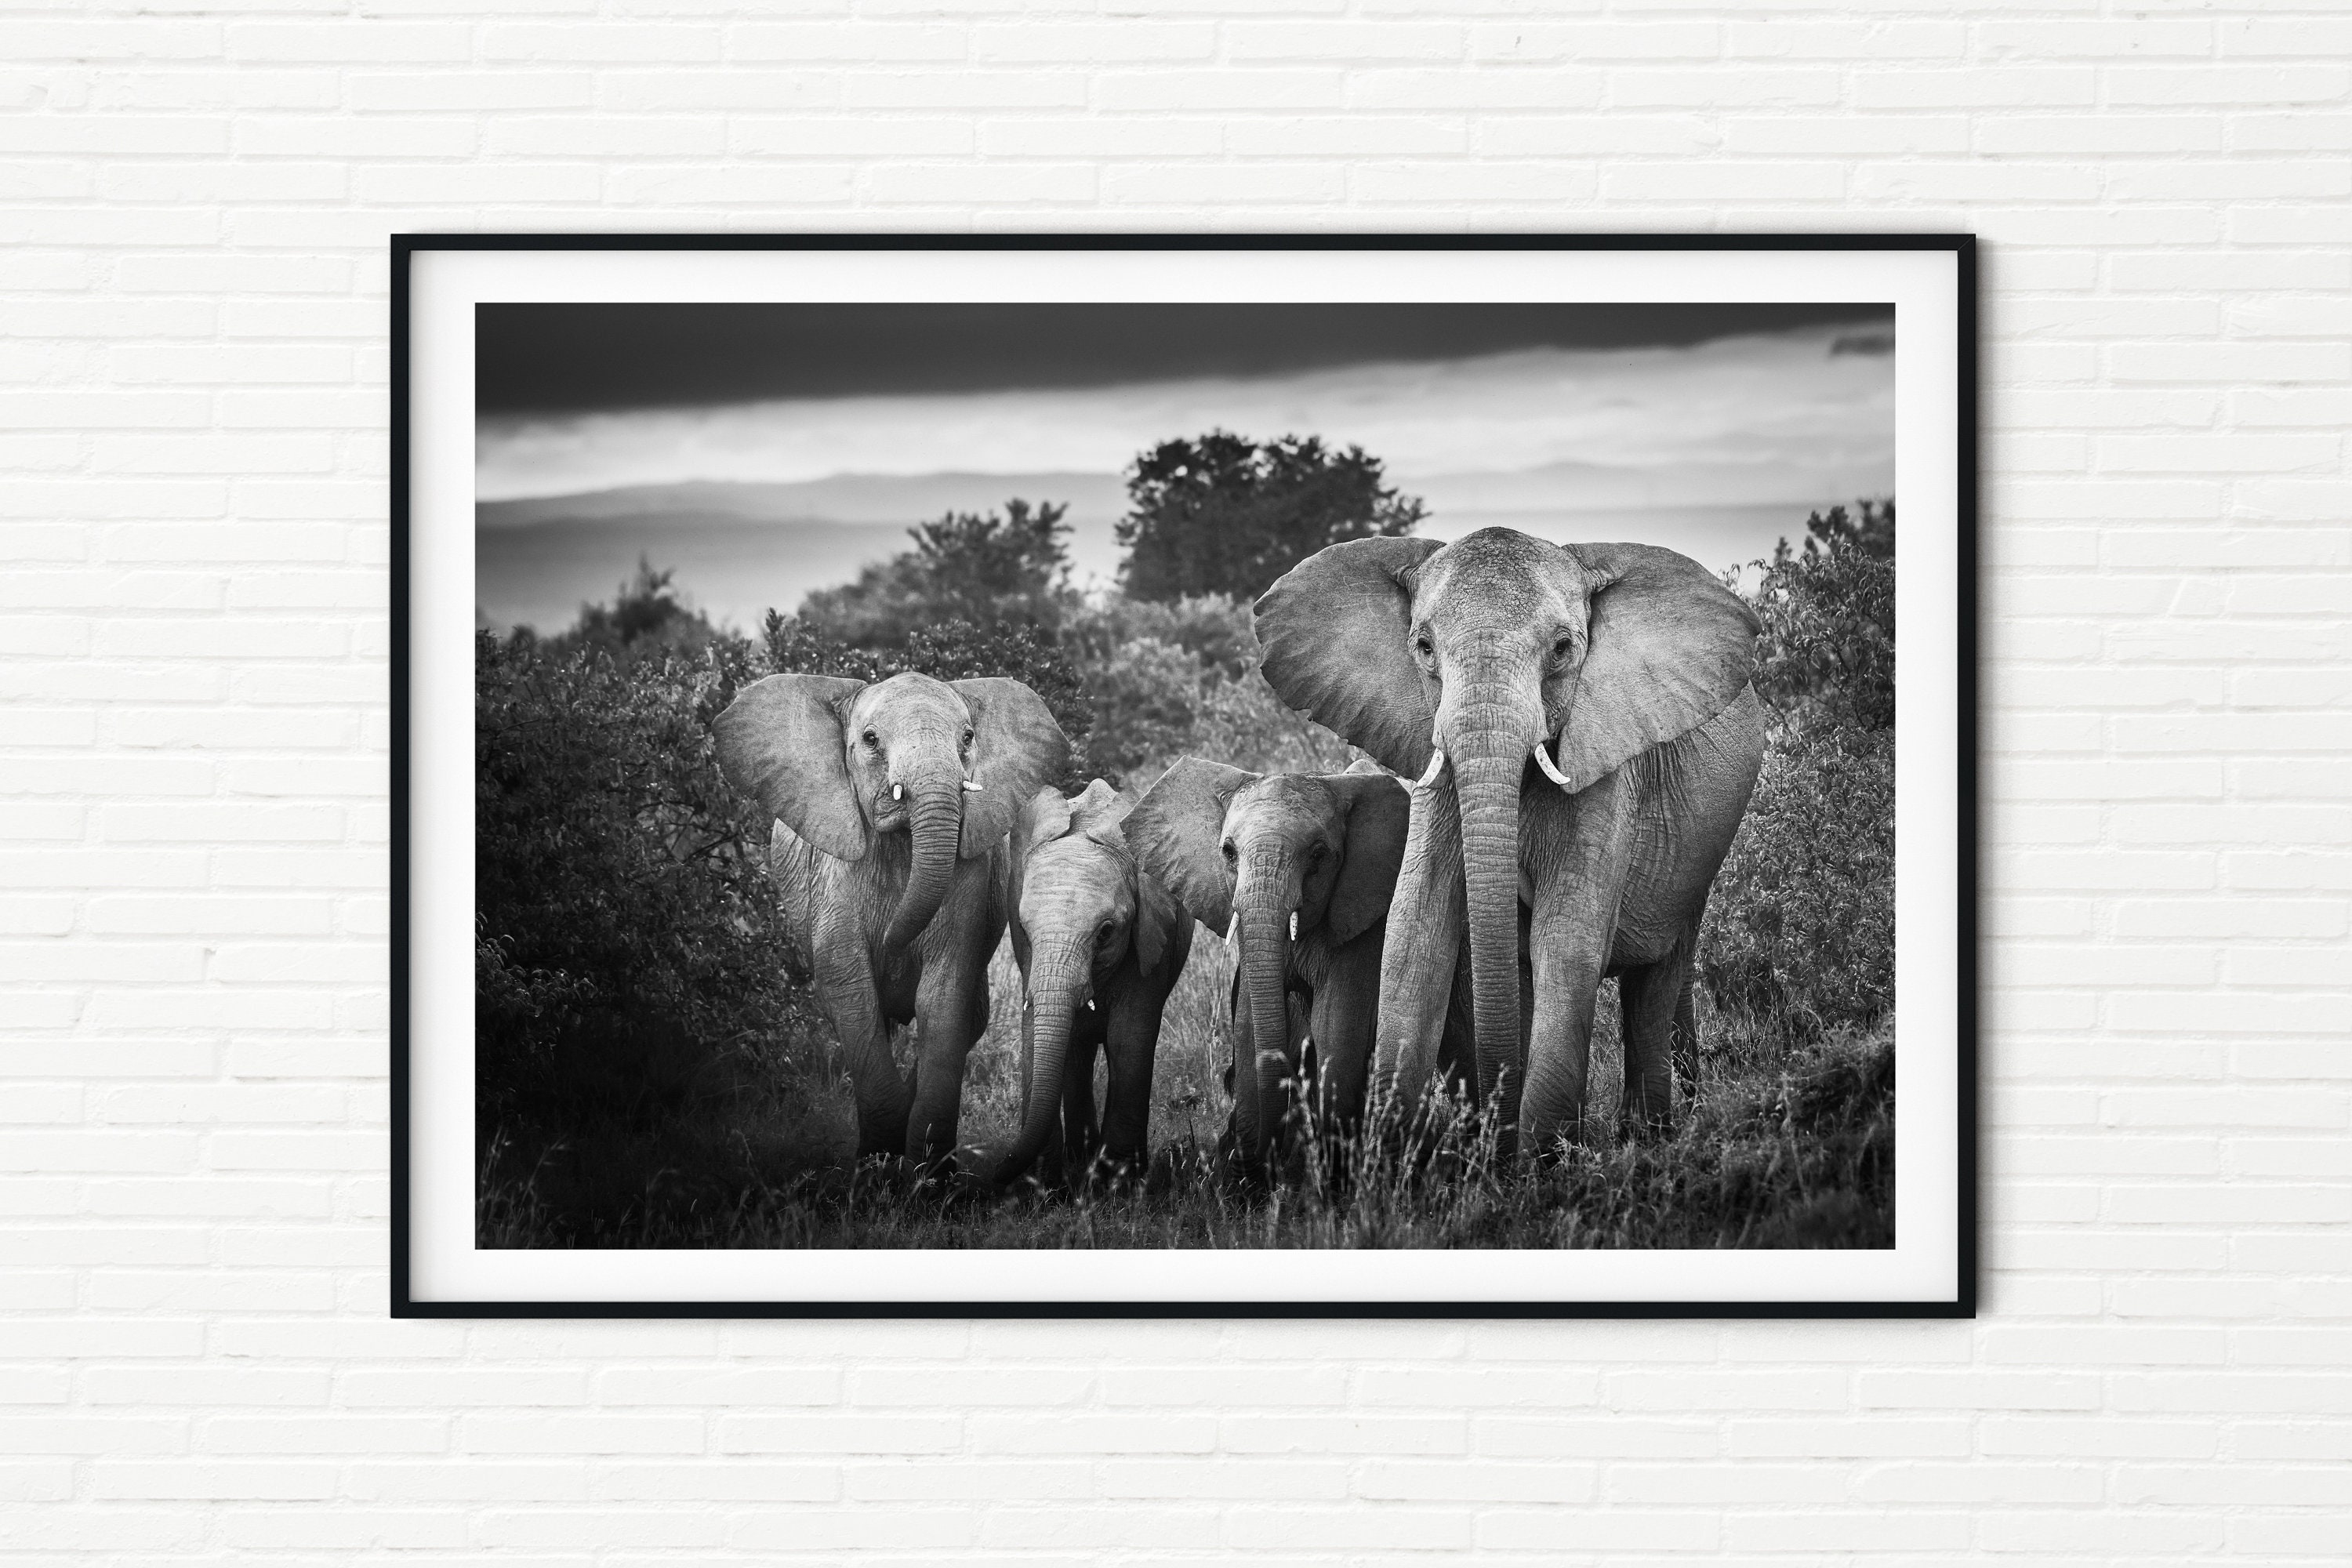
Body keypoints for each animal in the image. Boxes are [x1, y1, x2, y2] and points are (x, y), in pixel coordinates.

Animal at [713, 670, 1068, 1166]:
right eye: (870, 739)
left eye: (968, 737)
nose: (894, 950)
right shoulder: (834, 877)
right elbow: (850, 987)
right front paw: (879, 1162)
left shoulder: (968, 878)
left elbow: (945, 991)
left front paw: (927, 1172)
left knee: (973, 1014)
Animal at [994, 779, 1193, 1189]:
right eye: (1023, 928)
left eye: (1105, 933)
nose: (994, 1175)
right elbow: (1035, 1033)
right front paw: (1044, 1187)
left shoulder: (1150, 940)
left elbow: (1128, 1038)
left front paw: (1116, 1186)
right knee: (1077, 1050)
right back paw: (1078, 1159)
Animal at [1126, 756, 1419, 1174]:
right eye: (1228, 852)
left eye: (1318, 855)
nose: (1267, 1158)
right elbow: (1250, 1021)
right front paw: (1247, 1172)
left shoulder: (1364, 921)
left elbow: (1337, 1025)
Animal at [1255, 526, 1764, 1162]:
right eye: (1423, 648)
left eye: (1564, 650)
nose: (1498, 1147)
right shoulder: (1436, 781)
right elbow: (1414, 928)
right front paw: (1392, 1158)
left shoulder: (1605, 768)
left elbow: (1567, 937)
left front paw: (1544, 1162)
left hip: (1697, 856)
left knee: (1656, 976)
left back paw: (1649, 1136)